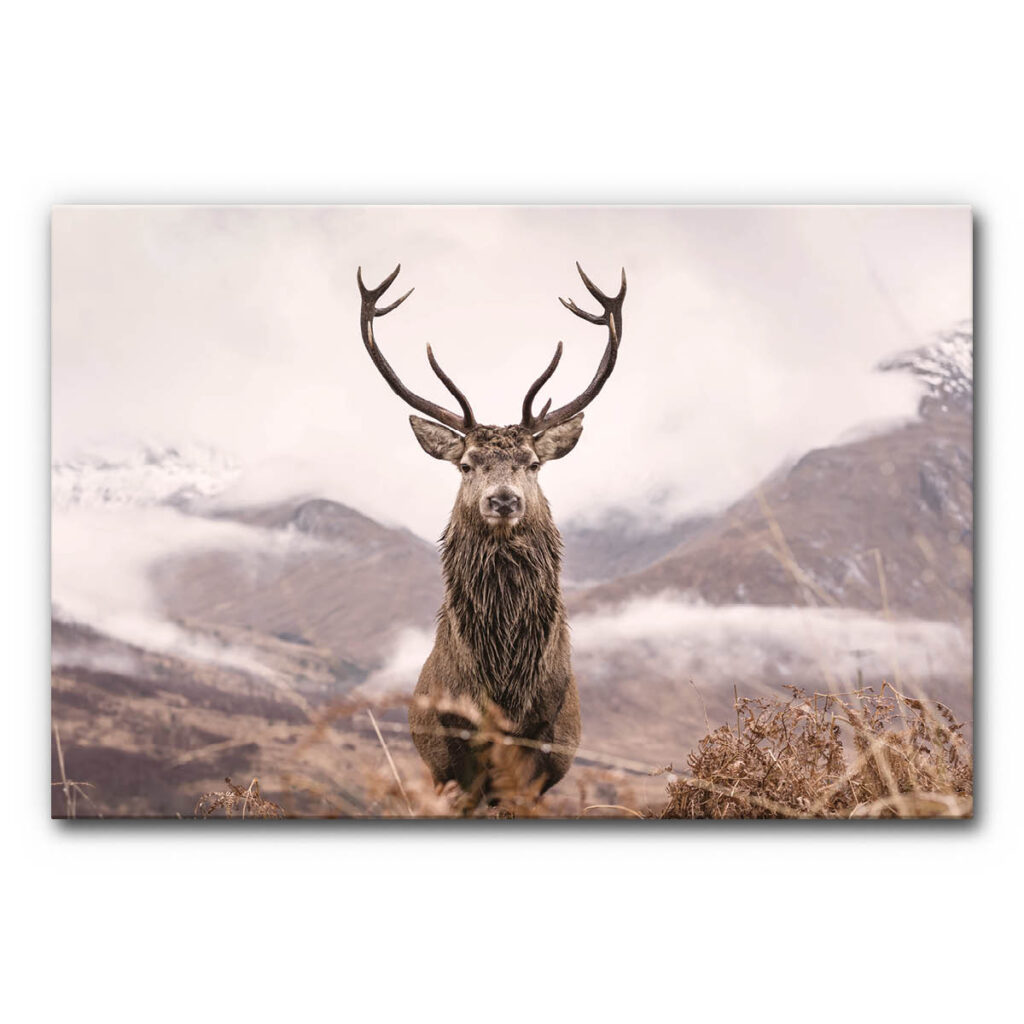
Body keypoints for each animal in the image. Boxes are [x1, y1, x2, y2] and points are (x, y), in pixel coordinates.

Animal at [356, 262, 625, 812]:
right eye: (466, 464)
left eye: (534, 462)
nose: (503, 500)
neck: (503, 685)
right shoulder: (454, 746)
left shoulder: (539, 741)